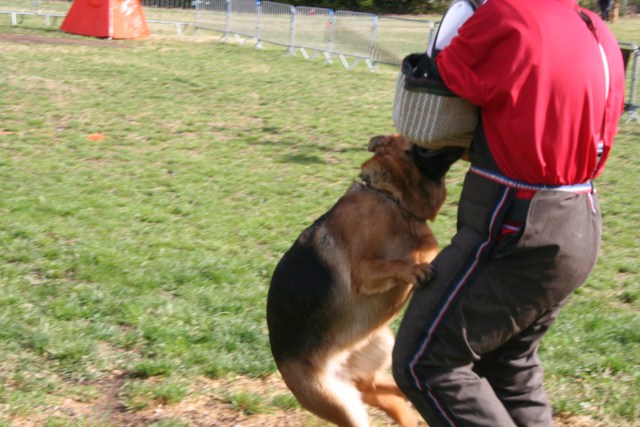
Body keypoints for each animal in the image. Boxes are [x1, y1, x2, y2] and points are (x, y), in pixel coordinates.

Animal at [264, 136, 460, 427]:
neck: (389, 197)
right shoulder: (362, 271)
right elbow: (397, 263)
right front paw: (415, 269)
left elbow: (426, 248)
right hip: (345, 407)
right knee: (373, 391)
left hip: (381, 350)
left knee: (378, 386)